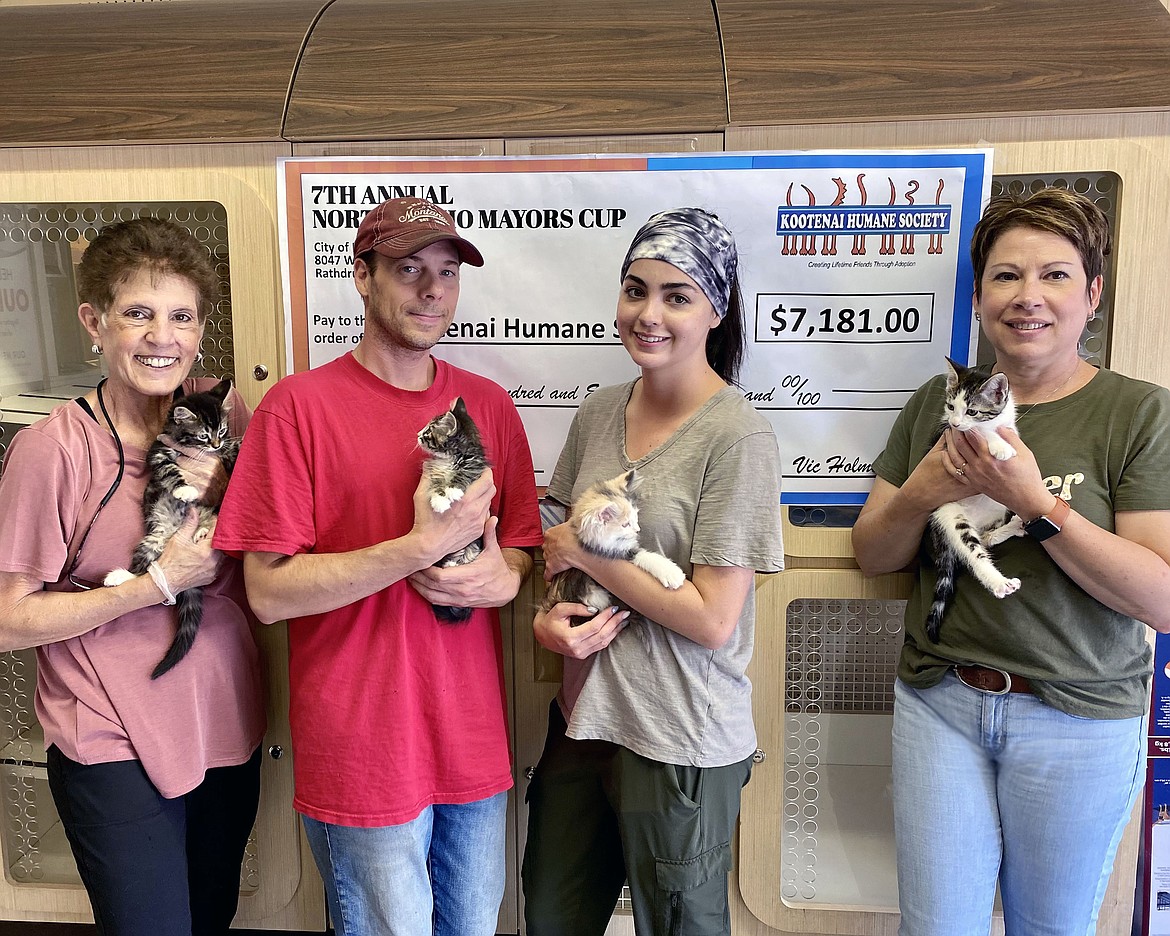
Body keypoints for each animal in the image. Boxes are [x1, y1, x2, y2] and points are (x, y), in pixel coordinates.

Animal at [105, 376, 239, 678]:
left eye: (222, 430)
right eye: (203, 436)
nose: (215, 445)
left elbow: (234, 451)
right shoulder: (158, 453)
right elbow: (170, 470)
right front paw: (184, 489)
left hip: (209, 514)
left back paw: (202, 530)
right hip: (152, 539)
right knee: (142, 570)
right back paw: (118, 577)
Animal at [418, 395, 486, 622]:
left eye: (428, 432)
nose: (417, 434)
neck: (450, 458)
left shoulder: (476, 468)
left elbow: (463, 476)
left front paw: (454, 490)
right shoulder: (433, 473)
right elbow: (436, 486)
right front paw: (440, 501)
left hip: (473, 545)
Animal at [538, 467, 683, 627]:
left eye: (636, 517)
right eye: (625, 524)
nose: (638, 530)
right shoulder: (615, 551)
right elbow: (645, 556)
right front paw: (672, 573)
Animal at [921, 355, 1024, 641]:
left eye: (973, 411)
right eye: (950, 406)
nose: (956, 422)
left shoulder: (1006, 423)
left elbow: (1003, 431)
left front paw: (1004, 442)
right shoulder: (948, 436)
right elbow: (978, 434)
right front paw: (999, 446)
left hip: (998, 506)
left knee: (987, 538)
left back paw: (1010, 527)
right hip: (950, 515)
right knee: (974, 553)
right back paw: (999, 583)